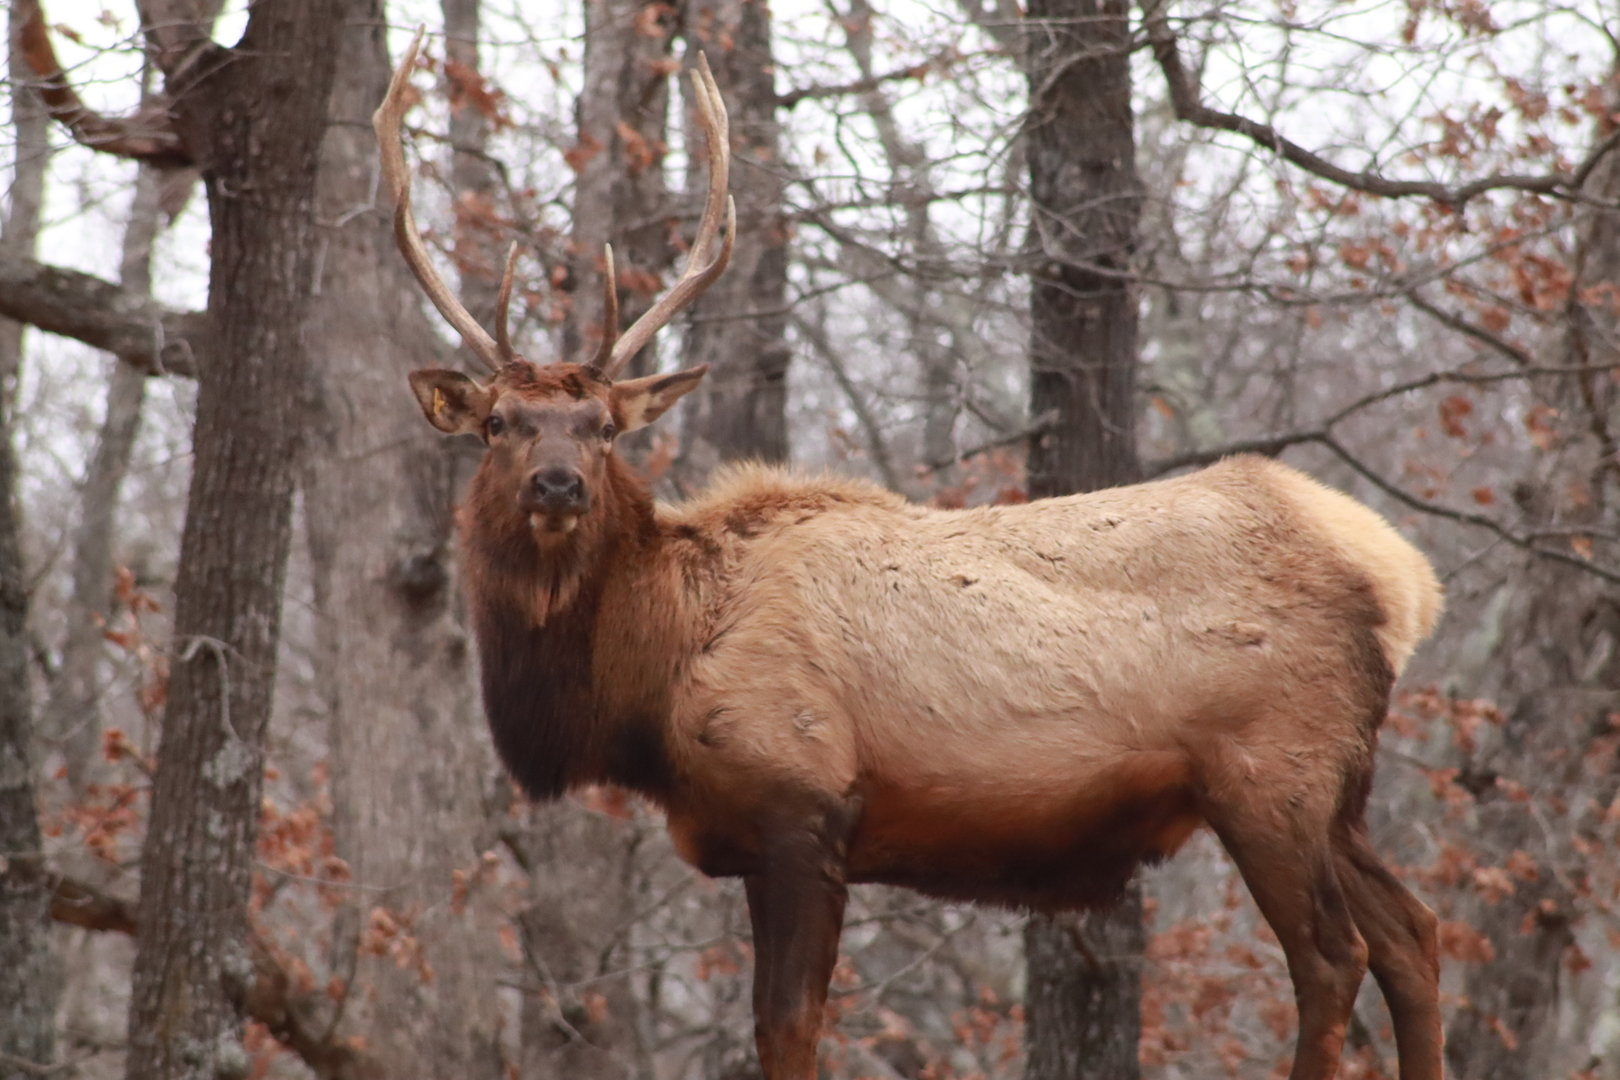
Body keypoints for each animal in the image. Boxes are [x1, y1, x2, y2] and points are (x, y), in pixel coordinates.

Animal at [376, 31, 1445, 1080]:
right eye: (501, 424)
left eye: (603, 428)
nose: (558, 486)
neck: (652, 676)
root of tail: (1404, 580)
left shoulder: (801, 800)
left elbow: (788, 1028)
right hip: (1336, 791)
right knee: (1415, 934)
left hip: (1273, 773)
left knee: (1334, 956)